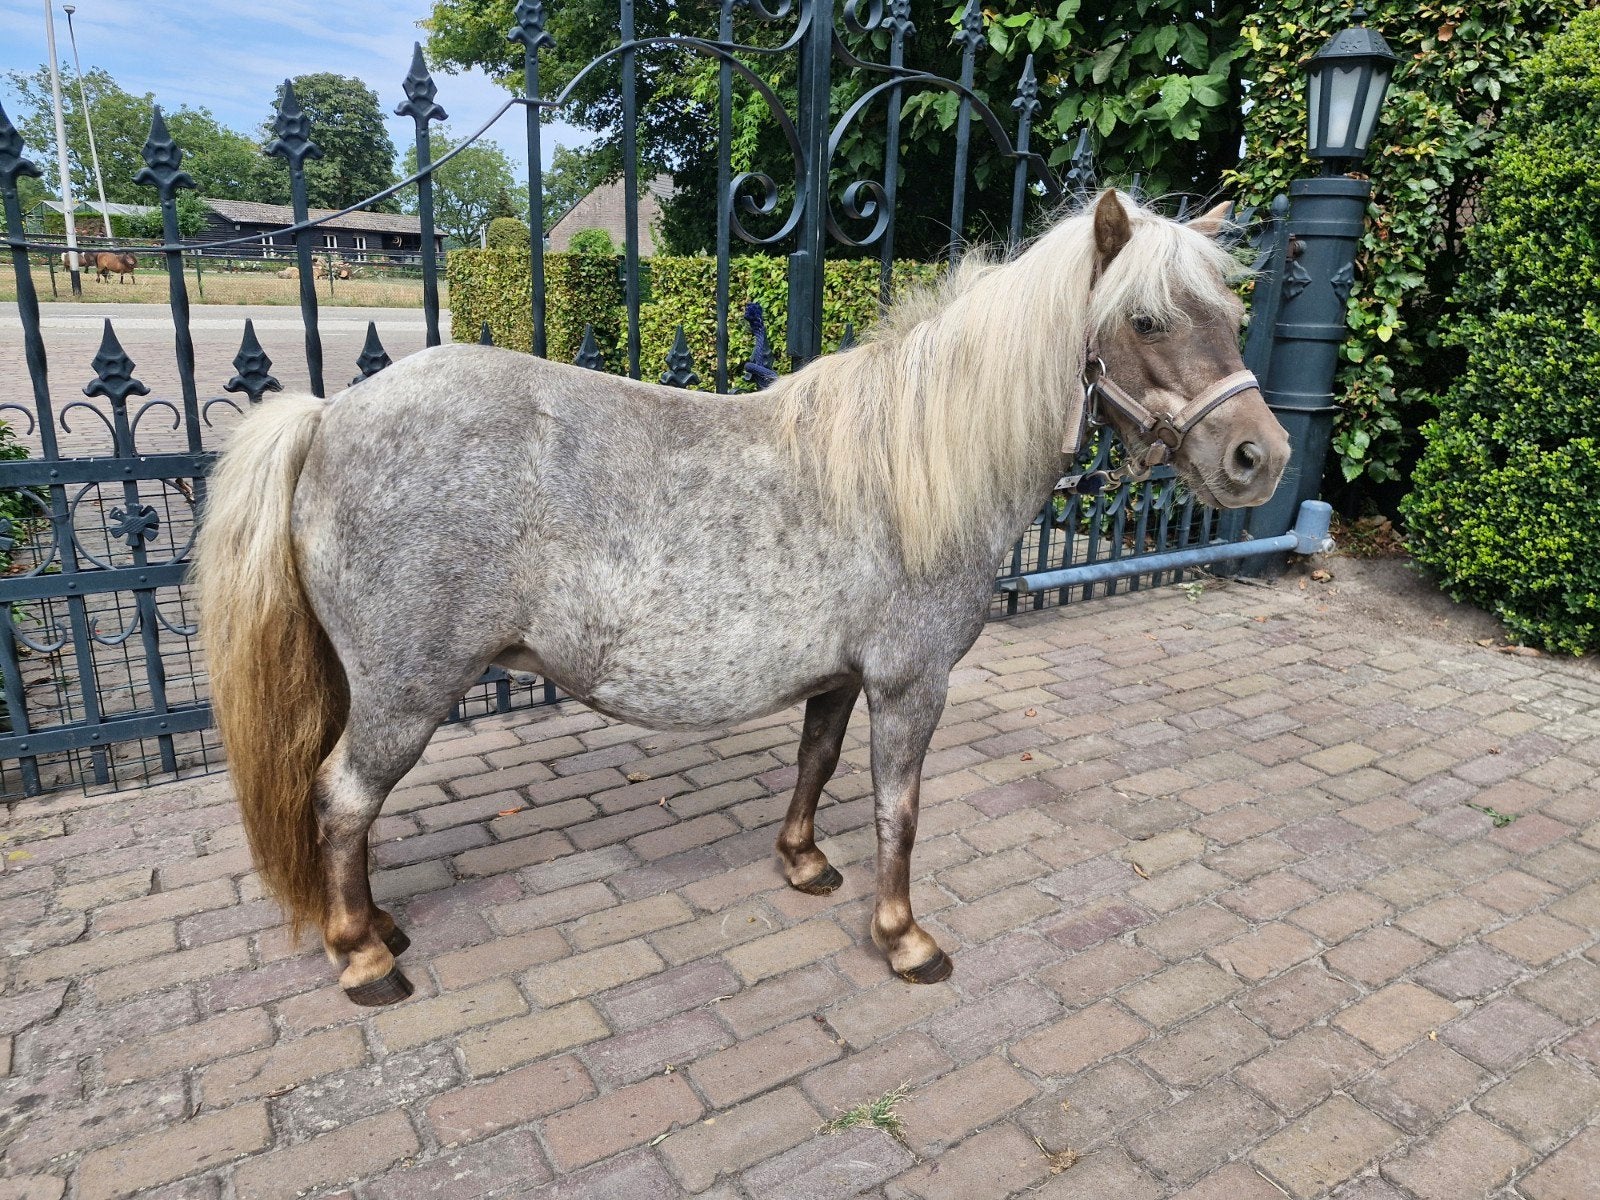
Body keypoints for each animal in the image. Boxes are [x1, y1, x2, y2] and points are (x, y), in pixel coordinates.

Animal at [195, 190, 1290, 1006]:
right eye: (1145, 319)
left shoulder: (841, 678)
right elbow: (897, 808)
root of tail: (329, 417)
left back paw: (376, 924)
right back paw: (363, 958)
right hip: (408, 693)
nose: (1260, 457)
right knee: (342, 798)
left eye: (1235, 318)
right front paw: (903, 938)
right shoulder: (911, 684)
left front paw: (803, 864)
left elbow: (816, 763)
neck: (912, 463)